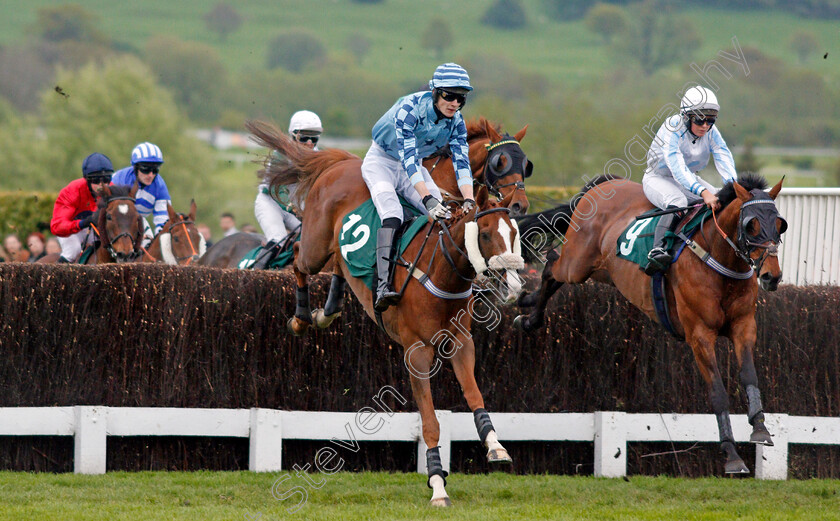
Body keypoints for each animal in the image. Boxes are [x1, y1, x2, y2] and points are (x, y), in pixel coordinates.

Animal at [246, 121, 524, 504]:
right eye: (484, 234)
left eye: (513, 234)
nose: (513, 286)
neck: (441, 270)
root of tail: (342, 162)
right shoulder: (416, 351)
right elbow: (430, 422)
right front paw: (437, 483)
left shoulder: (460, 341)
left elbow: (474, 395)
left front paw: (495, 446)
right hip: (316, 243)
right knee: (301, 255)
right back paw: (303, 317)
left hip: (336, 248)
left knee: (340, 264)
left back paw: (326, 313)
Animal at [512, 173, 788, 474]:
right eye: (751, 225)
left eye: (779, 224)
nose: (772, 276)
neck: (718, 260)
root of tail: (602, 185)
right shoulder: (699, 335)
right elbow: (717, 392)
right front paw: (732, 455)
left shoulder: (743, 326)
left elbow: (749, 375)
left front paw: (760, 429)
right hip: (577, 264)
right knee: (551, 266)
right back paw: (528, 315)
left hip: (600, 271)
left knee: (553, 272)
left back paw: (528, 306)